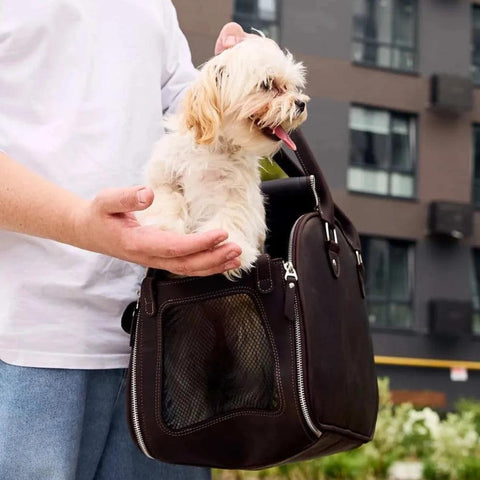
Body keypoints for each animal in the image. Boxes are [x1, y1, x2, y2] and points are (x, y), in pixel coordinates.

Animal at [137, 33, 310, 280]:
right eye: (267, 84)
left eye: (290, 86)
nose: (301, 103)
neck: (213, 149)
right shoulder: (164, 178)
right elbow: (168, 200)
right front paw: (164, 228)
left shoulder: (235, 195)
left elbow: (229, 218)